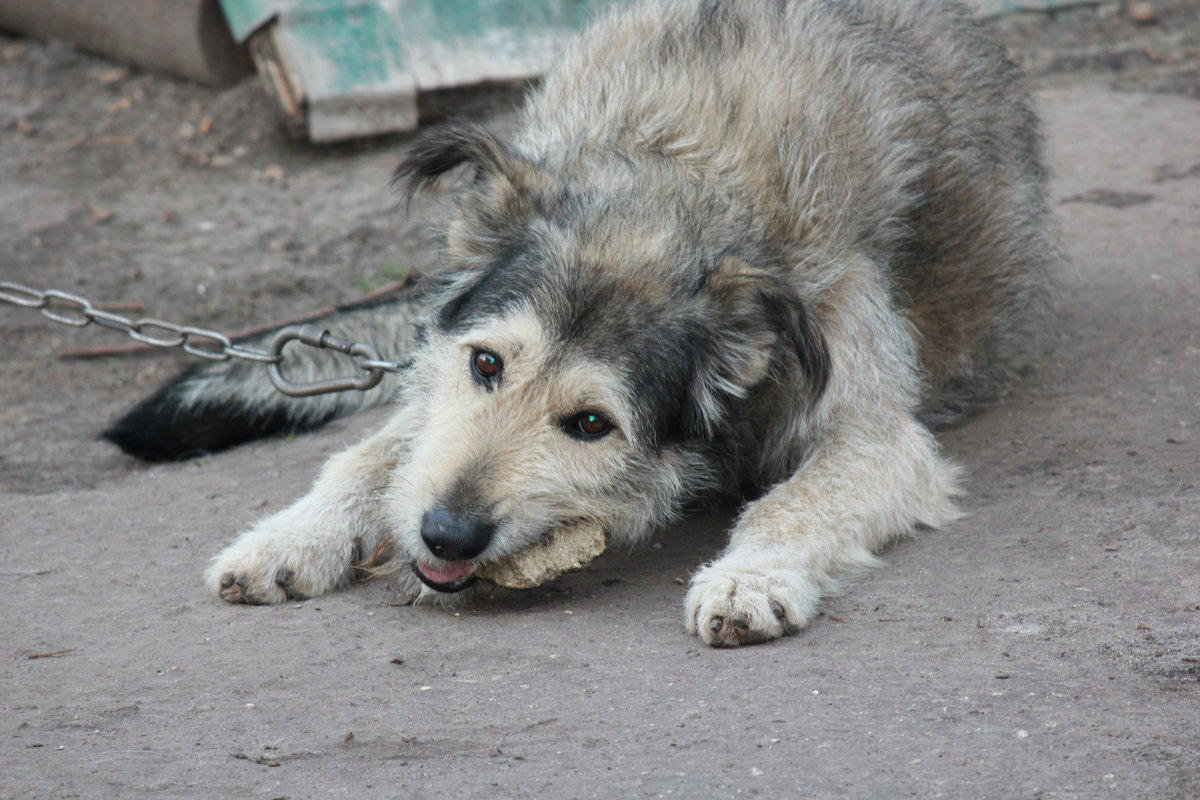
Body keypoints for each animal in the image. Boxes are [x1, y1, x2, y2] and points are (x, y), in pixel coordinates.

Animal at [108, 0, 1056, 647]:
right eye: (487, 366)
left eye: (591, 424)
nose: (446, 534)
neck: (680, 176)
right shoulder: (438, 389)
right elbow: (376, 455)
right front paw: (292, 536)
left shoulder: (875, 433)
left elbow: (797, 501)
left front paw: (748, 575)